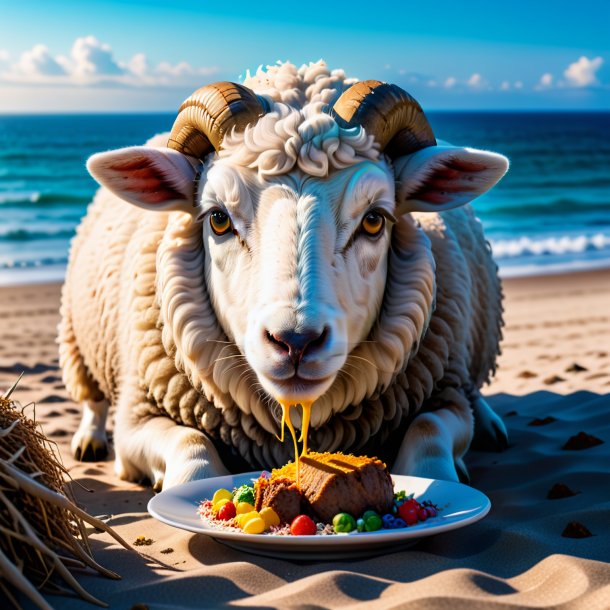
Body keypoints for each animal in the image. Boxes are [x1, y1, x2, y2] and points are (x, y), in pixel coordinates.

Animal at [59, 60, 508, 490]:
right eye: (218, 219)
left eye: (375, 220)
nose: (295, 342)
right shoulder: (136, 418)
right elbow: (191, 446)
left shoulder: (444, 396)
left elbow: (429, 431)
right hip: (78, 342)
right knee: (93, 399)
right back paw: (88, 439)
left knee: (474, 392)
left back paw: (490, 423)